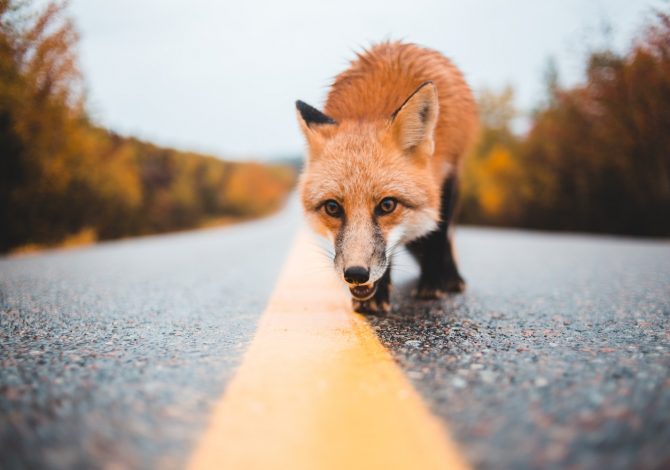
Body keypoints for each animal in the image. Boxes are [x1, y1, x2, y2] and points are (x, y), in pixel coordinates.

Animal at [296, 41, 478, 314]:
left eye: (388, 205)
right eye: (332, 207)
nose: (356, 274)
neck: (371, 109)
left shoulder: (447, 178)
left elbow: (437, 237)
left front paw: (432, 284)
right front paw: (377, 295)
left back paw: (451, 278)